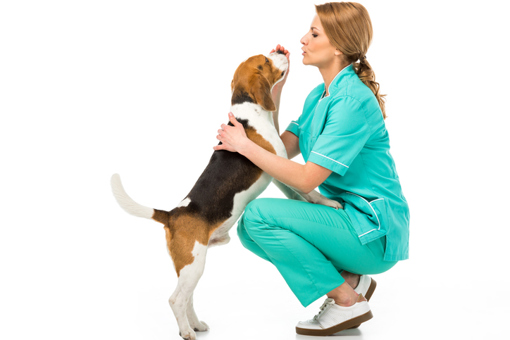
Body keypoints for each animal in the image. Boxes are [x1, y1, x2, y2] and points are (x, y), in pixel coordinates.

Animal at [111, 50, 342, 340]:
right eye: (266, 61)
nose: (280, 51)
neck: (249, 112)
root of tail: (172, 214)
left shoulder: (279, 173)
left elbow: (299, 193)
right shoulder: (280, 164)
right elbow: (310, 190)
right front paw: (329, 203)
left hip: (191, 267)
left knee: (187, 298)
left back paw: (196, 324)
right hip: (193, 264)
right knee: (176, 299)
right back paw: (186, 331)